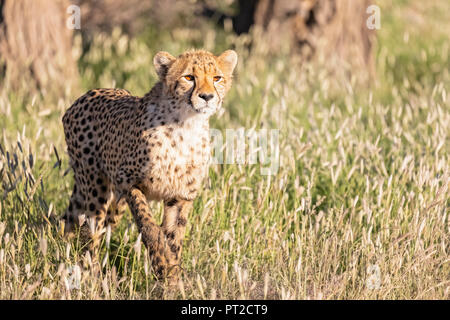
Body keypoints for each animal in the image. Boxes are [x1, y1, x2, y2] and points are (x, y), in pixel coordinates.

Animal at [62, 48, 239, 282]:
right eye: (189, 77)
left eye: (217, 78)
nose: (207, 96)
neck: (186, 125)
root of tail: (87, 94)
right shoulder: (128, 181)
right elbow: (149, 225)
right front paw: (160, 260)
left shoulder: (180, 195)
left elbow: (175, 236)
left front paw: (172, 277)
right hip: (96, 188)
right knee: (92, 230)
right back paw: (92, 274)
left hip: (115, 202)